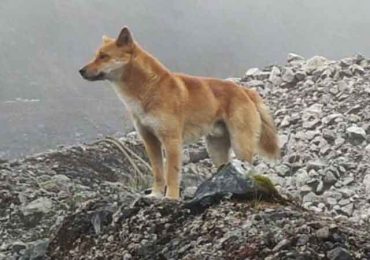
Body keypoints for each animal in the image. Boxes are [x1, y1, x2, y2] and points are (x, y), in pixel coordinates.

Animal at [79, 26, 278, 199]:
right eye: (96, 56)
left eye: (104, 56)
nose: (81, 71)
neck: (149, 89)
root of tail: (245, 91)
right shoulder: (150, 141)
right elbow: (158, 173)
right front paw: (155, 195)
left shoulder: (172, 141)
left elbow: (172, 174)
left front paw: (171, 198)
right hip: (216, 148)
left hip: (240, 144)